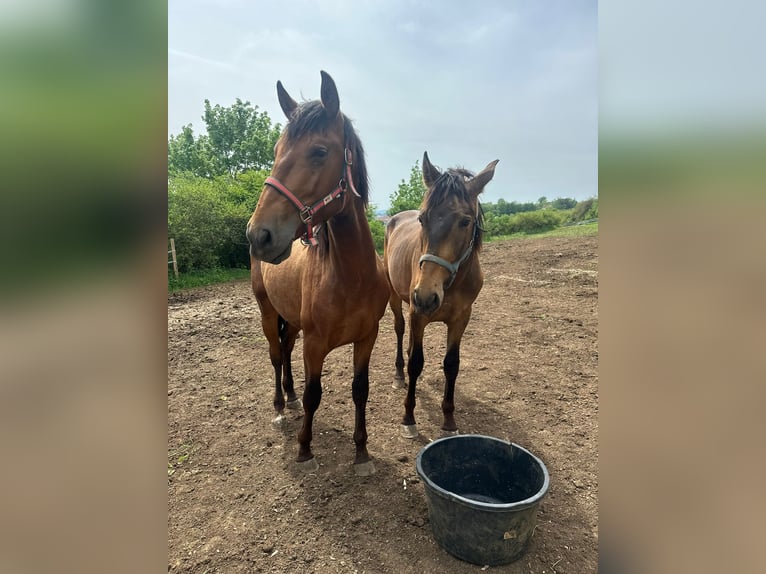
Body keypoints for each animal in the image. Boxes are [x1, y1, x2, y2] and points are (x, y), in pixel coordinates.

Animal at [248, 72, 390, 476]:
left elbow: (361, 390)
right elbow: (316, 393)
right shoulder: (315, 344)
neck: (350, 277)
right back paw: (281, 408)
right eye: (277, 150)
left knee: (285, 348)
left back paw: (290, 397)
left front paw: (362, 453)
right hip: (267, 313)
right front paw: (304, 449)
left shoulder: (367, 337)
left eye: (320, 152)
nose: (258, 235)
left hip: (291, 320)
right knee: (275, 354)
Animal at [384, 151, 498, 438]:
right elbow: (416, 362)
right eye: (422, 219)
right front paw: (408, 419)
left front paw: (448, 421)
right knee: (400, 330)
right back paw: (399, 375)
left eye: (465, 221)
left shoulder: (460, 319)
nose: (426, 295)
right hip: (396, 298)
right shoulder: (418, 313)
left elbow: (451, 364)